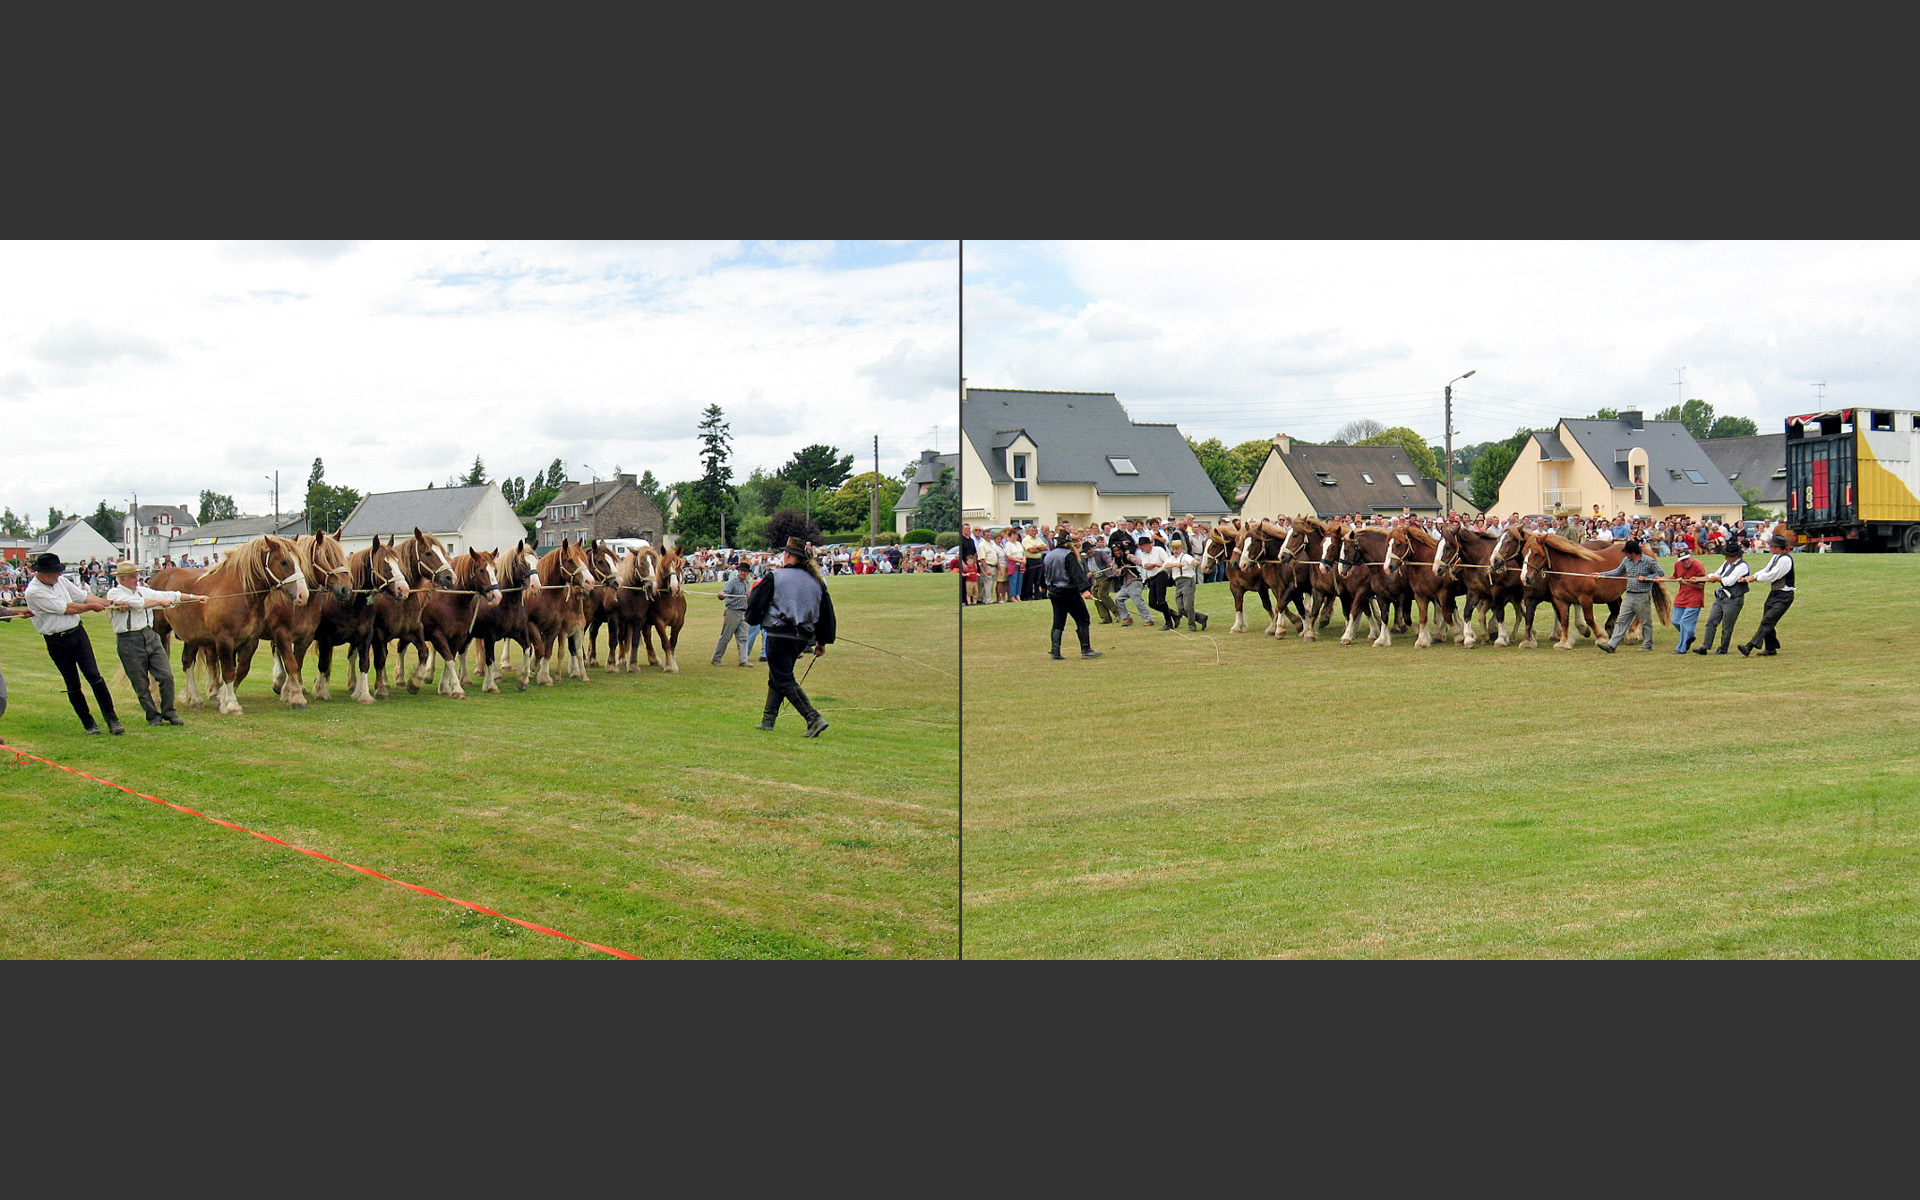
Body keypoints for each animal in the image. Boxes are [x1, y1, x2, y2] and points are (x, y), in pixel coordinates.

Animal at [150, 535, 309, 716]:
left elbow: (240, 670)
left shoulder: (250, 641)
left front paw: (222, 700)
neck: (238, 593)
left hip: (192, 637)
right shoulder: (224, 640)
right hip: (160, 631)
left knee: (187, 663)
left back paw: (195, 699)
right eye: (283, 562)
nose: (303, 595)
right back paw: (156, 697)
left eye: (299, 561)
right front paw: (232, 705)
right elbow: (227, 672)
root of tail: (158, 577)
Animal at [312, 533, 411, 703]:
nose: (403, 590)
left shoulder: (365, 636)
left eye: (398, 562)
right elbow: (323, 664)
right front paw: (322, 693)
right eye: (384, 564)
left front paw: (363, 694)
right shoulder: (325, 638)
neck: (348, 605)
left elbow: (364, 663)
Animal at [370, 527, 459, 698]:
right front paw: (381, 688)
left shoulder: (414, 629)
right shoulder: (379, 632)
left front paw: (415, 682)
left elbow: (424, 651)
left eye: (444, 552)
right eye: (428, 553)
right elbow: (381, 657)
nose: (450, 578)